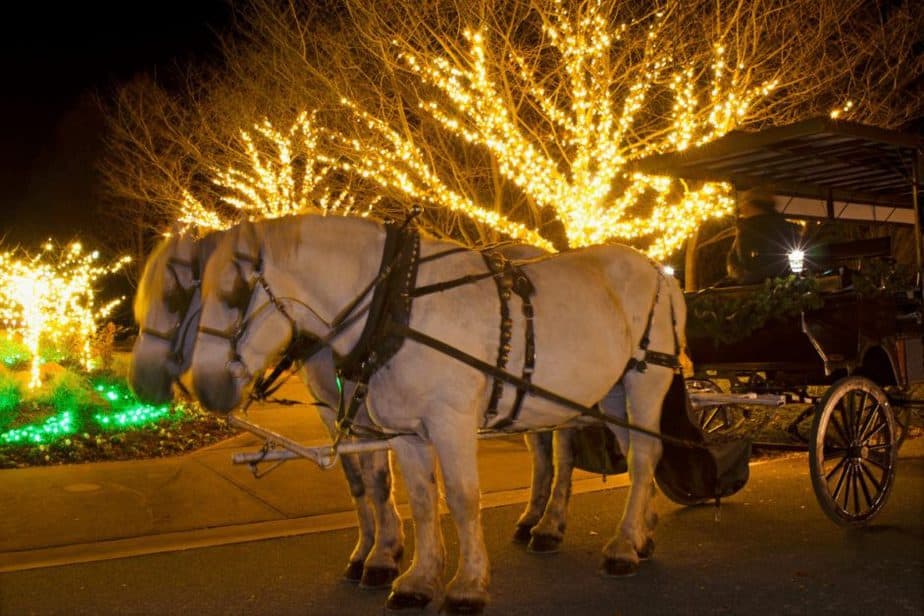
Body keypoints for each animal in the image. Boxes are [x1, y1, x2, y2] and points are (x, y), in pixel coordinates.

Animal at [129, 230, 404, 588]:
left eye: (174, 295)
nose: (140, 381)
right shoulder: (334, 411)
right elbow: (357, 478)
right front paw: (371, 550)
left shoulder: (368, 411)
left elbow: (380, 479)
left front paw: (383, 557)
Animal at [188, 214, 684, 612]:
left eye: (234, 293)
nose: (203, 387)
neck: (397, 305)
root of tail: (661, 273)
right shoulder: (405, 432)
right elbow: (421, 500)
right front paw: (417, 578)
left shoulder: (451, 422)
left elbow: (462, 499)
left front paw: (466, 585)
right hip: (612, 394)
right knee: (637, 455)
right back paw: (640, 533)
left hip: (644, 382)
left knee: (639, 458)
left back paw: (619, 546)